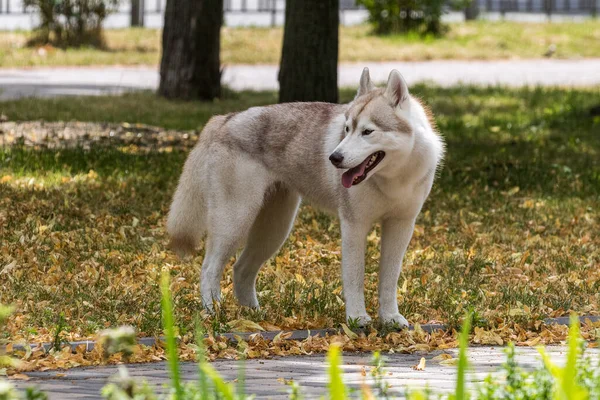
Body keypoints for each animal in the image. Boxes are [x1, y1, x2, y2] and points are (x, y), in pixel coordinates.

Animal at [166, 68, 442, 324]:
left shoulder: (401, 226)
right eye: (346, 129)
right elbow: (354, 277)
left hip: (274, 229)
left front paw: (390, 318)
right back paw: (213, 312)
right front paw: (357, 319)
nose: (334, 158)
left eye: (367, 131)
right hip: (235, 222)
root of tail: (224, 119)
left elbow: (389, 279)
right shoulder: (354, 226)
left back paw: (254, 316)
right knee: (209, 268)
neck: (394, 177)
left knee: (240, 269)